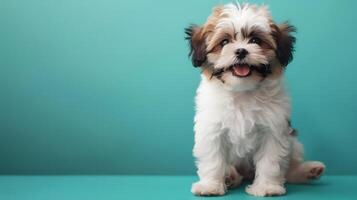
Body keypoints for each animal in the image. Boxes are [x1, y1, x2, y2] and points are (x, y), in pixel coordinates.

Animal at [185, 2, 324, 197]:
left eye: (255, 41)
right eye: (224, 42)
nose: (241, 51)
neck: (242, 90)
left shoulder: (273, 129)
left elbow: (270, 161)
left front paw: (267, 187)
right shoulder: (212, 128)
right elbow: (213, 158)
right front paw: (210, 185)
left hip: (294, 143)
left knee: (289, 168)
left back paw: (308, 171)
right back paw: (229, 176)